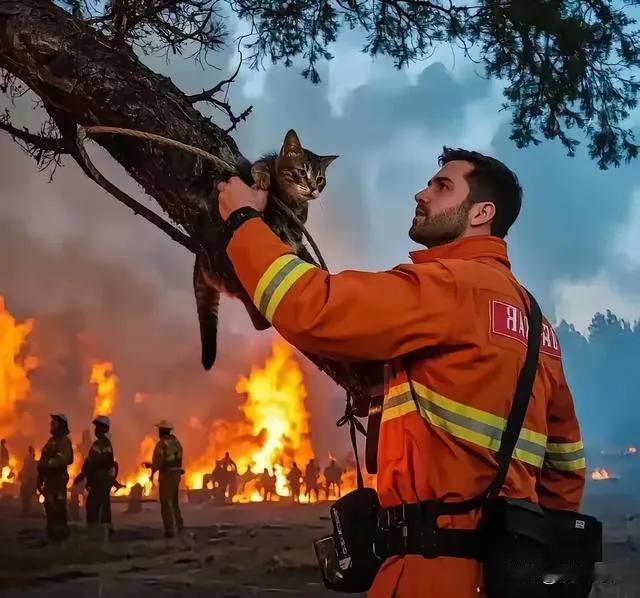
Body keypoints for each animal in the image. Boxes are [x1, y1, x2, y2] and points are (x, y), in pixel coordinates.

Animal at [192, 129, 338, 368]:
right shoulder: (262, 166)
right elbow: (259, 167)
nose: (314, 189)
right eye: (301, 172)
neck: (292, 201)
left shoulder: (297, 228)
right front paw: (263, 179)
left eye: (320, 179)